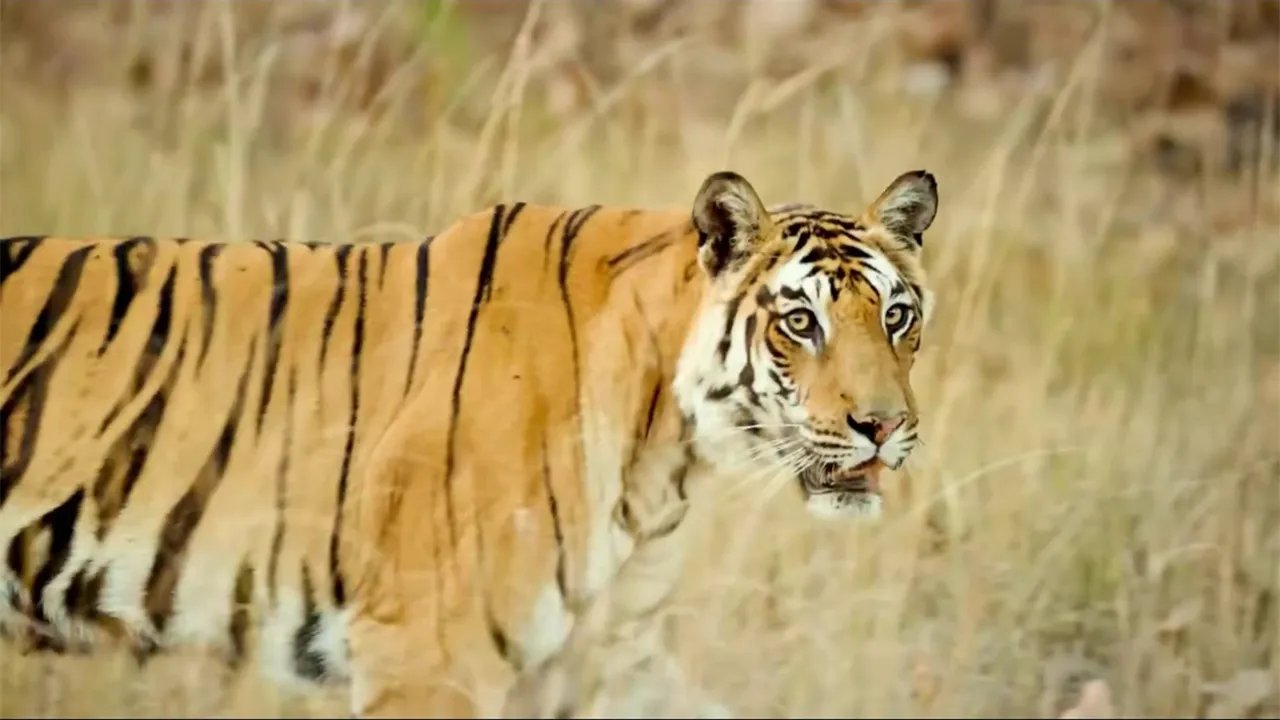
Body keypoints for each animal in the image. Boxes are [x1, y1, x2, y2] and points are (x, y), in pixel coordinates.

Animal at [0, 167, 939, 718]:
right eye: (800, 322)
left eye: (897, 316)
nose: (884, 426)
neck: (664, 456)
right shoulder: (428, 659)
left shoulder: (609, 664)